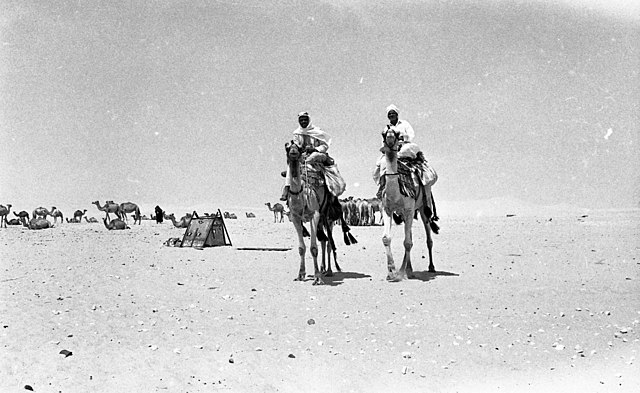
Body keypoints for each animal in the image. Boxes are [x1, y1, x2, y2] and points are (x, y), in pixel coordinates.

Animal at [284, 141, 356, 284]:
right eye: (287, 146)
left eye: (299, 147)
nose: (294, 151)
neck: (300, 195)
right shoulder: (295, 217)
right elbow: (301, 248)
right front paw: (301, 274)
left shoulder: (314, 214)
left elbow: (313, 248)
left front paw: (317, 277)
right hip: (321, 221)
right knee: (324, 240)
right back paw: (322, 268)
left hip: (329, 219)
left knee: (328, 243)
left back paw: (328, 271)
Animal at [378, 127, 438, 280]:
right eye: (383, 133)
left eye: (397, 133)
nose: (390, 137)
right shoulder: (387, 209)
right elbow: (386, 238)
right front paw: (391, 272)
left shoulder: (409, 209)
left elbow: (407, 242)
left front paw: (401, 272)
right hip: (406, 214)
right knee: (409, 235)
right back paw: (408, 269)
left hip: (423, 206)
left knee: (428, 238)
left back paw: (430, 267)